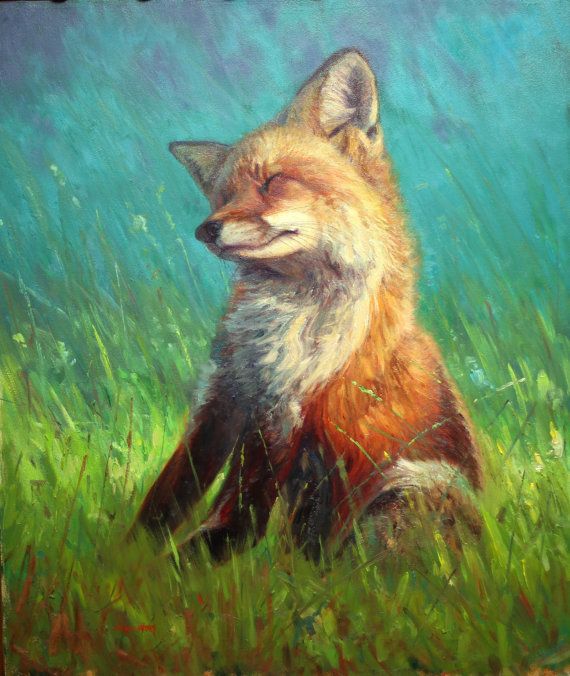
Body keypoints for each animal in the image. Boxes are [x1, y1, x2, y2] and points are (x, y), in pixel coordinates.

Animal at [135, 49, 483, 561]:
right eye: (223, 196)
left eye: (272, 180)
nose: (206, 229)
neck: (281, 320)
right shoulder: (223, 398)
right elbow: (172, 492)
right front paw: (129, 552)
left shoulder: (287, 412)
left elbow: (241, 502)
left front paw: (198, 560)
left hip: (407, 487)